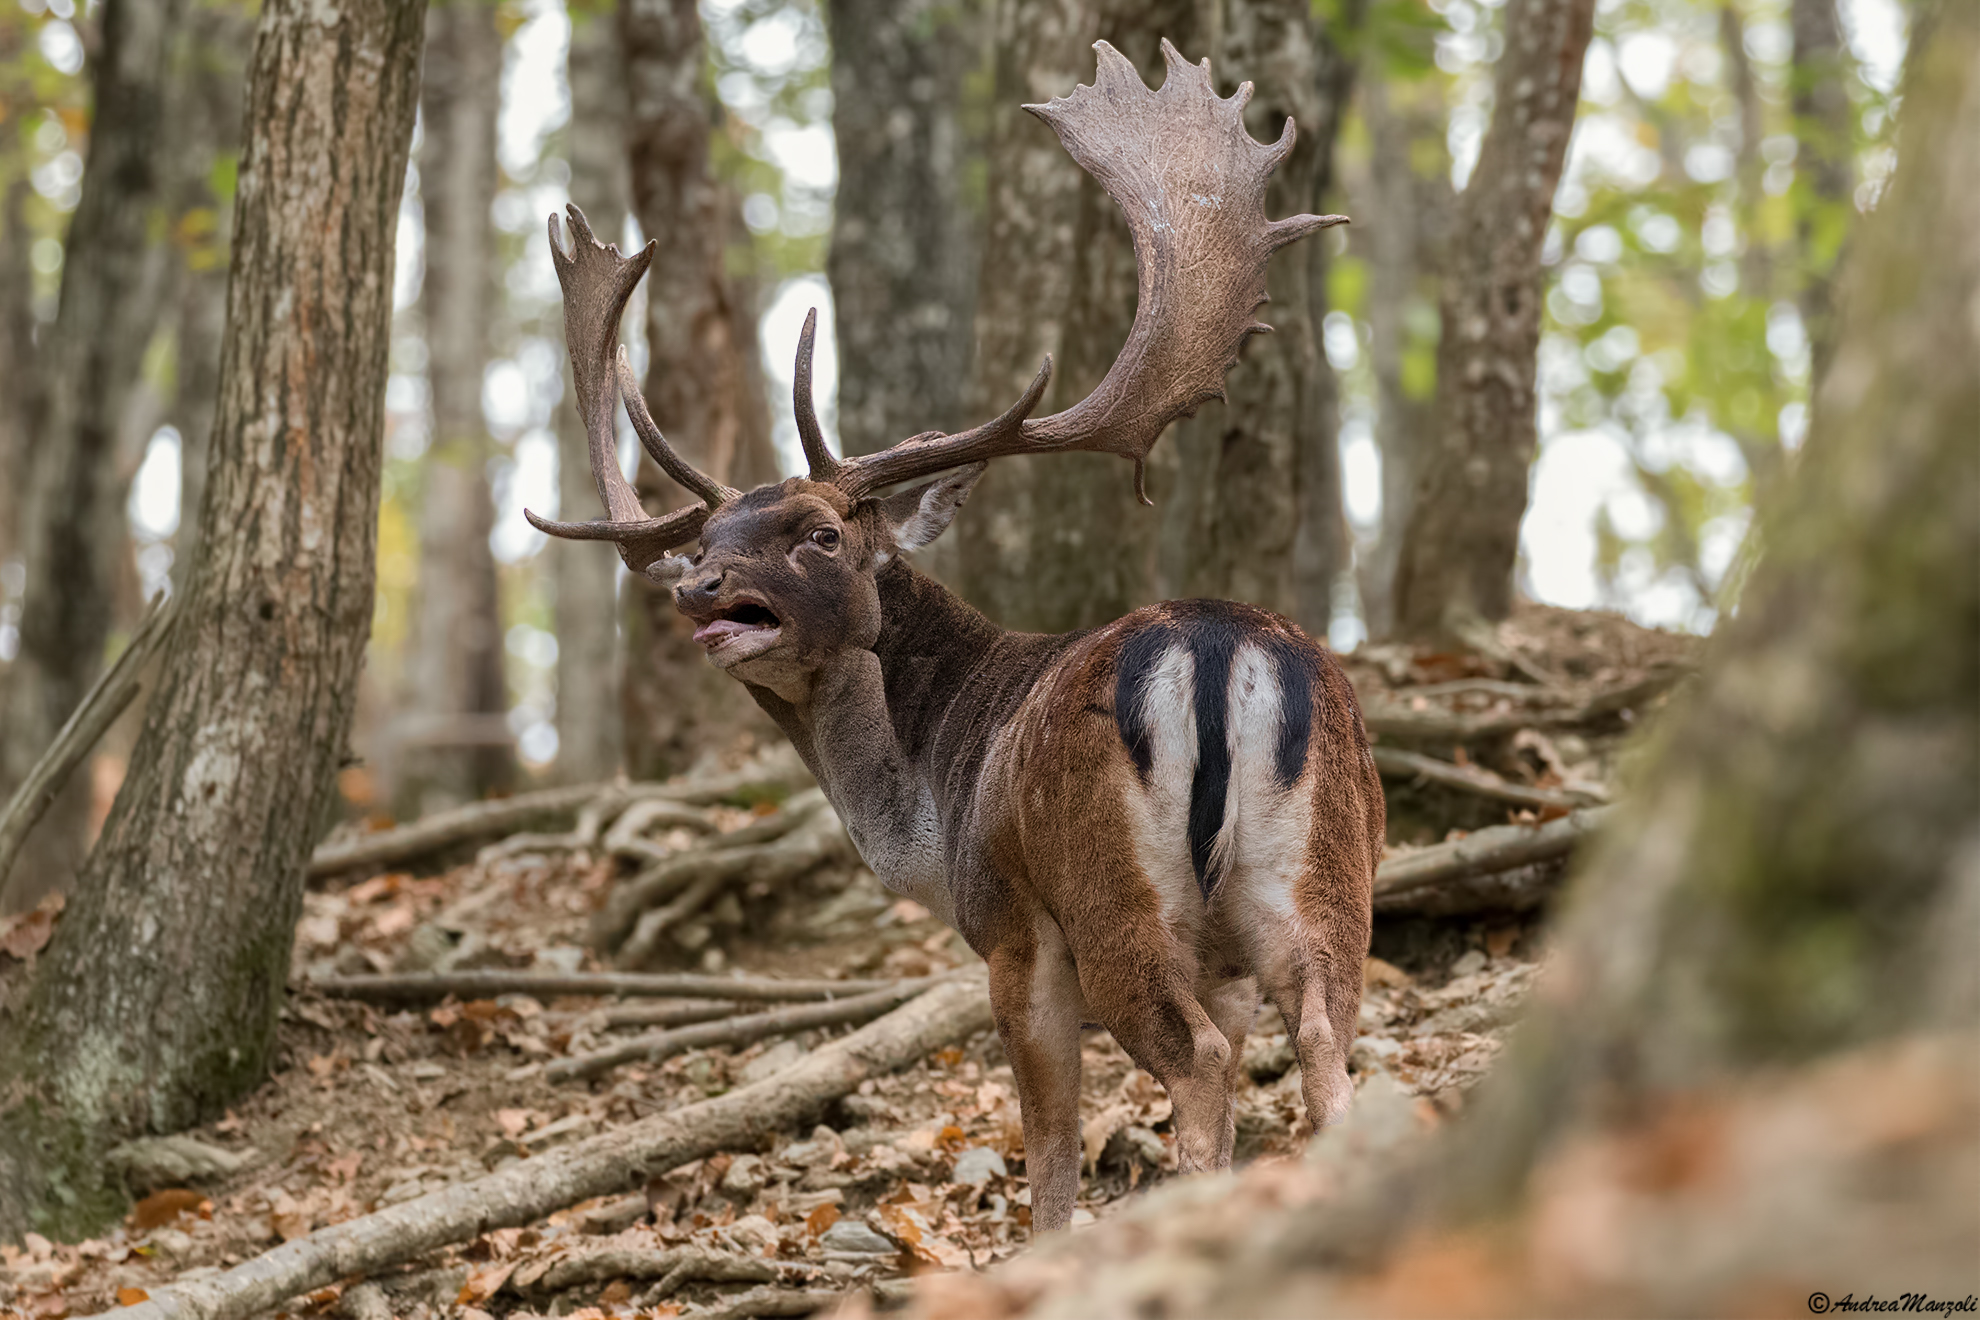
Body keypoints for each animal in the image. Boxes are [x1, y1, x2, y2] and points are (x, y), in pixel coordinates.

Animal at [531, 40, 1384, 1232]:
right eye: (713, 533)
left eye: (821, 532)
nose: (698, 587)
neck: (929, 813)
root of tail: (1221, 654)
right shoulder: (1217, 954)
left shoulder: (1011, 928)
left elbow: (1053, 1151)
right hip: (1328, 879)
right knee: (1326, 1047)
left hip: (1110, 894)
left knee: (1200, 1063)